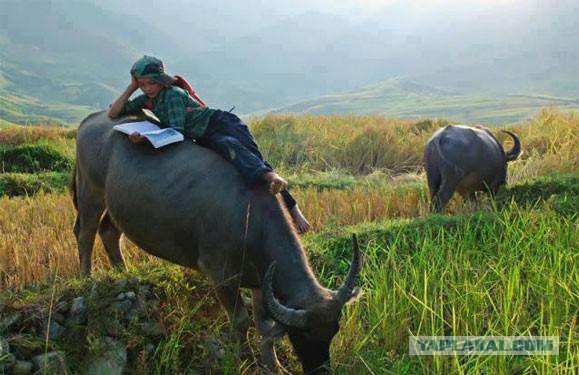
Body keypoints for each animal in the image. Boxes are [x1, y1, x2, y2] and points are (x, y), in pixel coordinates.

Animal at [71, 110, 362, 374]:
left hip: (116, 204)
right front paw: (242, 359)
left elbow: (262, 325)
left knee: (109, 232)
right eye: (301, 334)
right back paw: (86, 277)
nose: (321, 370)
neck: (250, 217)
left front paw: (274, 366)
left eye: (334, 330)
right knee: (86, 232)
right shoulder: (220, 275)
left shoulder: (260, 281)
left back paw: (122, 271)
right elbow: (241, 321)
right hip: (90, 191)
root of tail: (93, 119)